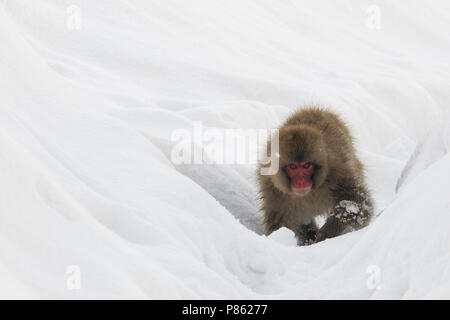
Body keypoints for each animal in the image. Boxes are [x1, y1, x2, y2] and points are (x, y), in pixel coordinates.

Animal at [258, 107, 374, 245]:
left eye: (307, 165)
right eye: (293, 167)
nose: (301, 181)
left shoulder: (337, 172)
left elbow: (358, 204)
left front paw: (327, 233)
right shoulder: (273, 190)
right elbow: (281, 225)